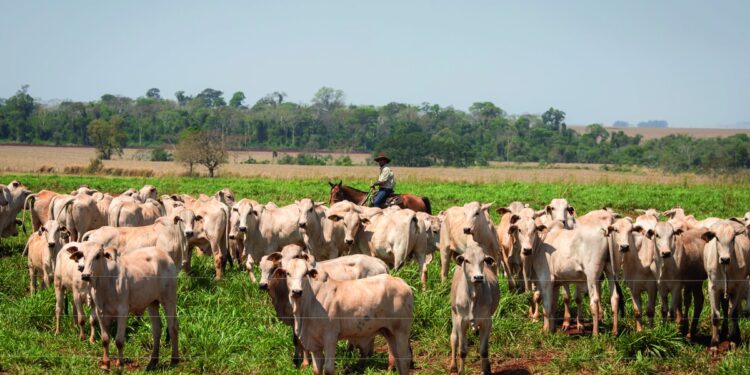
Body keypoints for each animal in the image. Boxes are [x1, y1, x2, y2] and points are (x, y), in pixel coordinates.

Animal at [452, 244, 500, 375]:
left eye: (483, 260)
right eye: (467, 260)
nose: (478, 277)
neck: (473, 297)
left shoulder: (487, 321)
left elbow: (484, 350)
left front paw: (485, 370)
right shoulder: (461, 321)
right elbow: (462, 351)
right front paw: (461, 372)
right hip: (454, 315)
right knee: (453, 338)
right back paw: (453, 366)